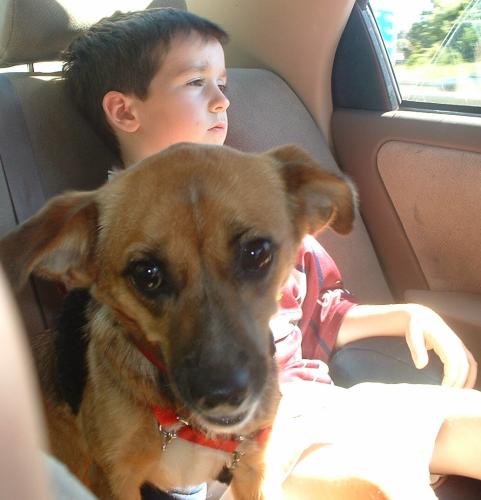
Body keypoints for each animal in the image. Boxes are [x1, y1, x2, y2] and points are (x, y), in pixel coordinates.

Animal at [0, 143, 358, 499]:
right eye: (147, 274)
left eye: (257, 253)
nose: (223, 394)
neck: (182, 423)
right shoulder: (116, 479)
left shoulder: (252, 467)